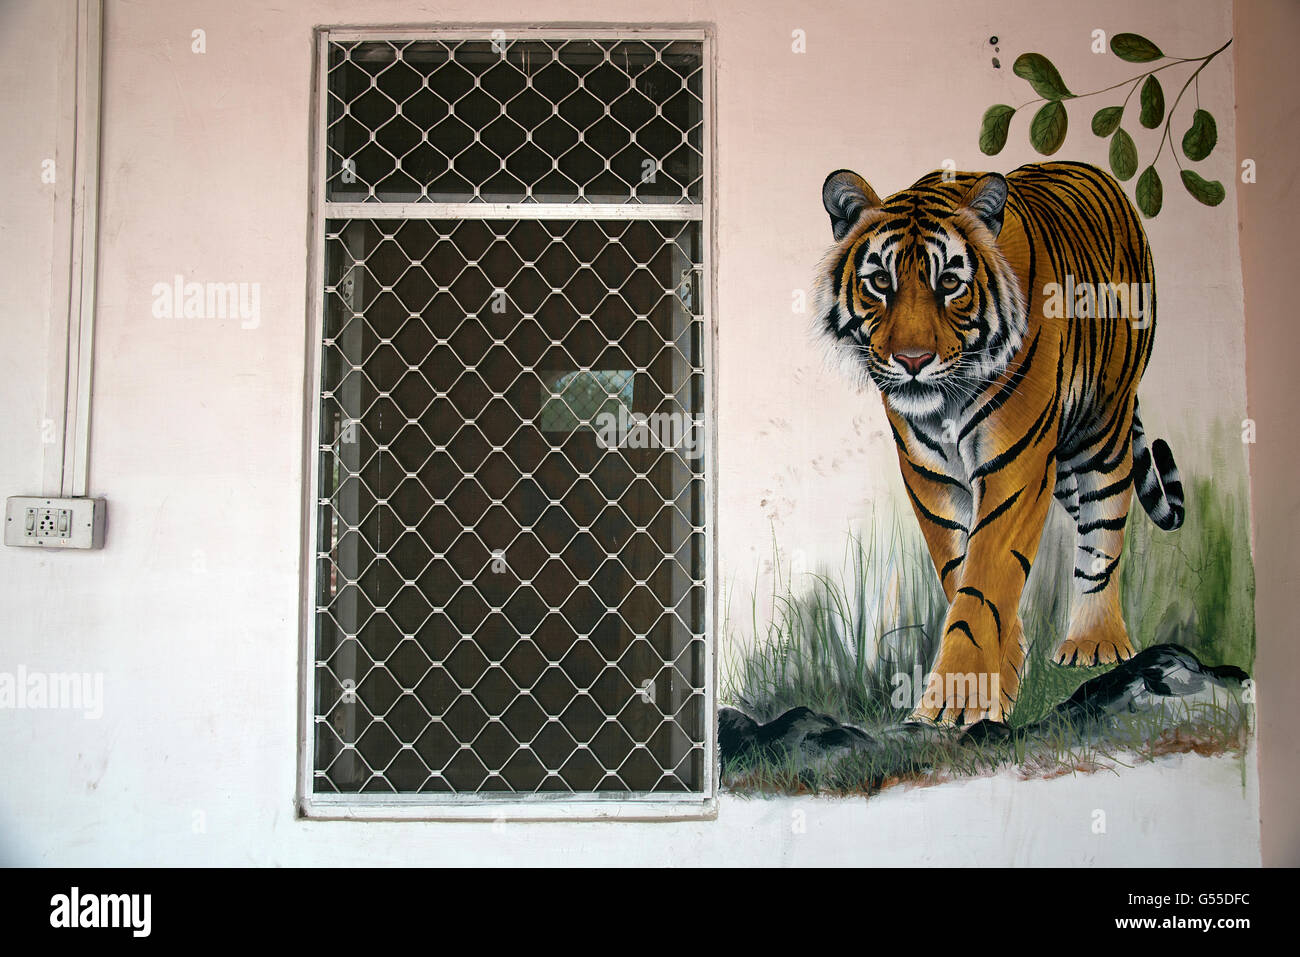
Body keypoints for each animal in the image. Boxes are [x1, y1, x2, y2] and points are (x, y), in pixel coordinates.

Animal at [816, 160, 1185, 722]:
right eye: (880, 281)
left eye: (950, 282)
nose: (913, 359)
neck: (944, 408)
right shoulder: (930, 475)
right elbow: (961, 572)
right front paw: (1005, 671)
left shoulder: (1015, 464)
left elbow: (986, 579)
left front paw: (954, 701)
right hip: (1061, 457)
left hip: (1103, 426)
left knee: (1104, 524)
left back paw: (1095, 641)